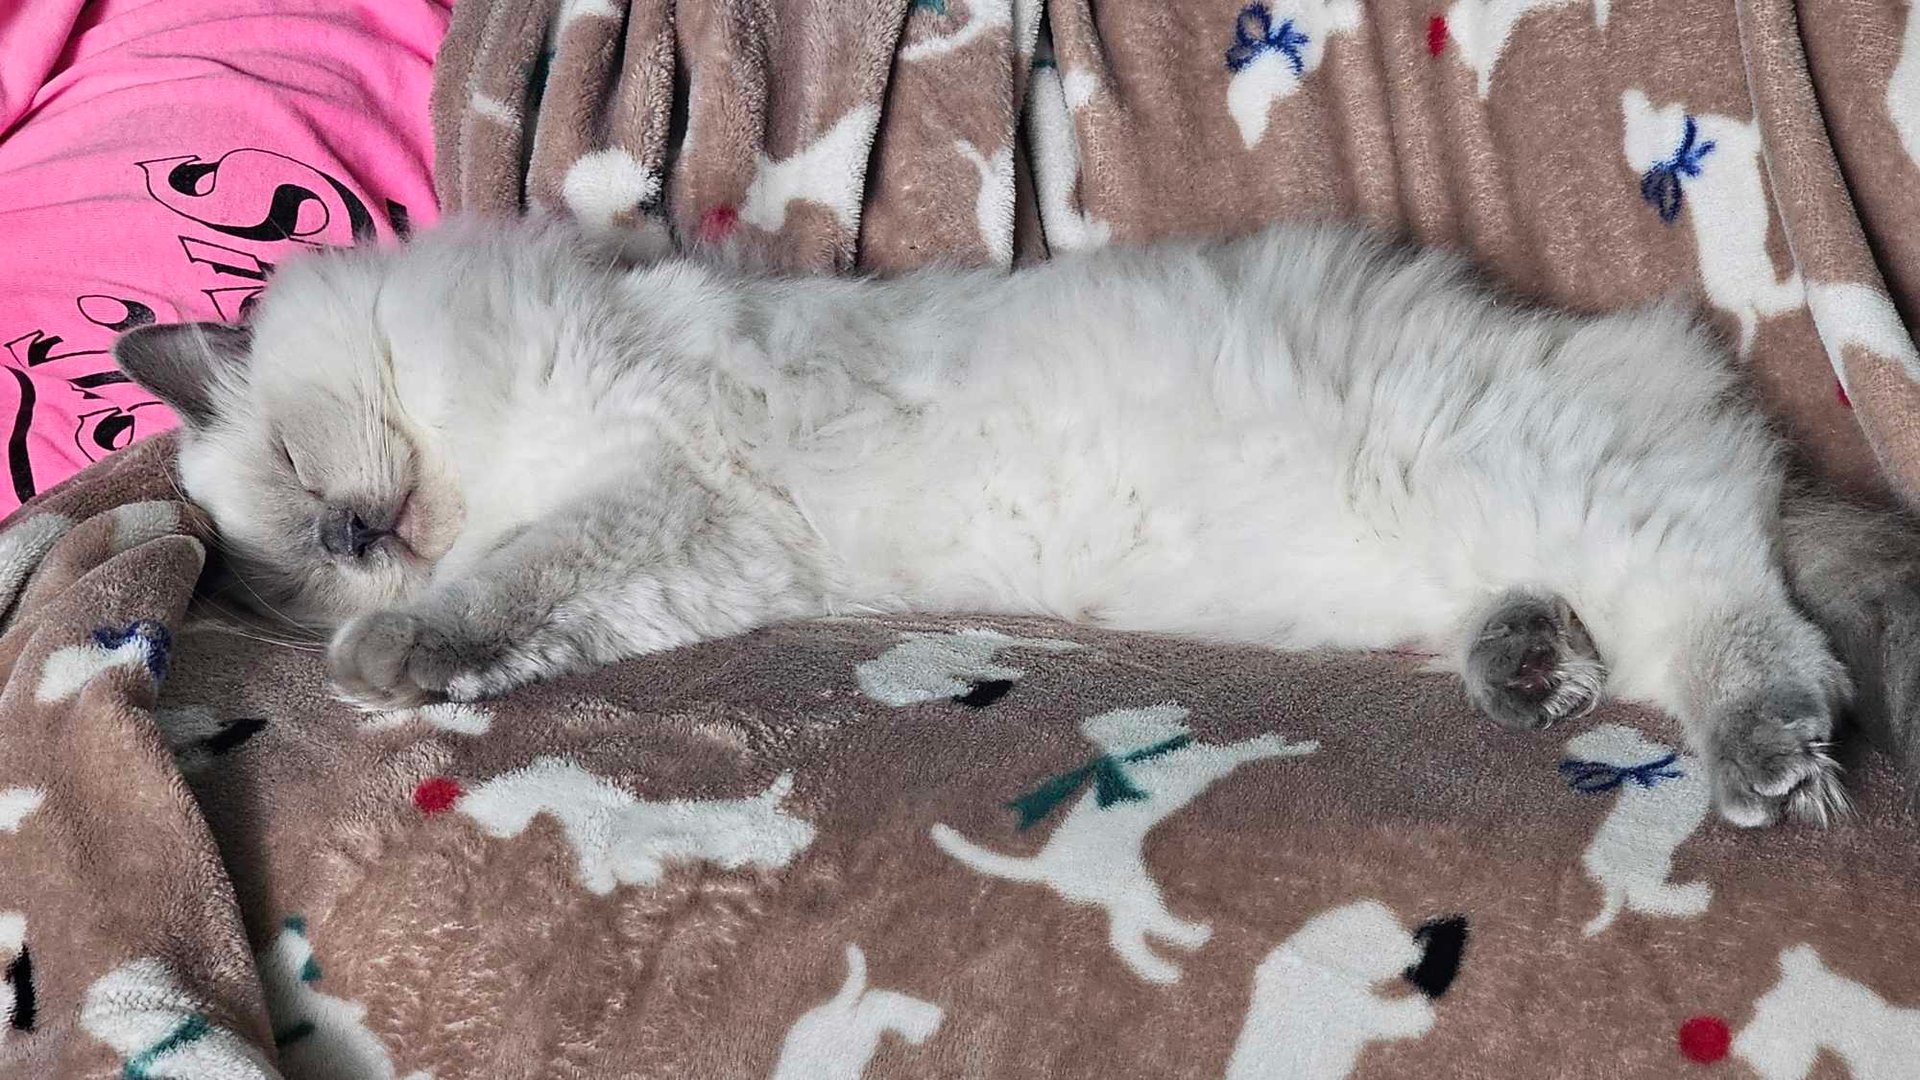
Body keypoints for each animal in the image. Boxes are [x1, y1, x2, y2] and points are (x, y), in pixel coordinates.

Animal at [112, 216, 1920, 822]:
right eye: (298, 550)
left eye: (302, 484)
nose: (362, 554)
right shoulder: (698, 555)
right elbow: (533, 617)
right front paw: (412, 664)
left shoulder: (652, 481)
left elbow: (514, 576)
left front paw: (396, 649)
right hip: (1466, 547)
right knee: (1616, 630)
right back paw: (1529, 667)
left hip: (1553, 482)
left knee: (1746, 621)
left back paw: (1768, 767)